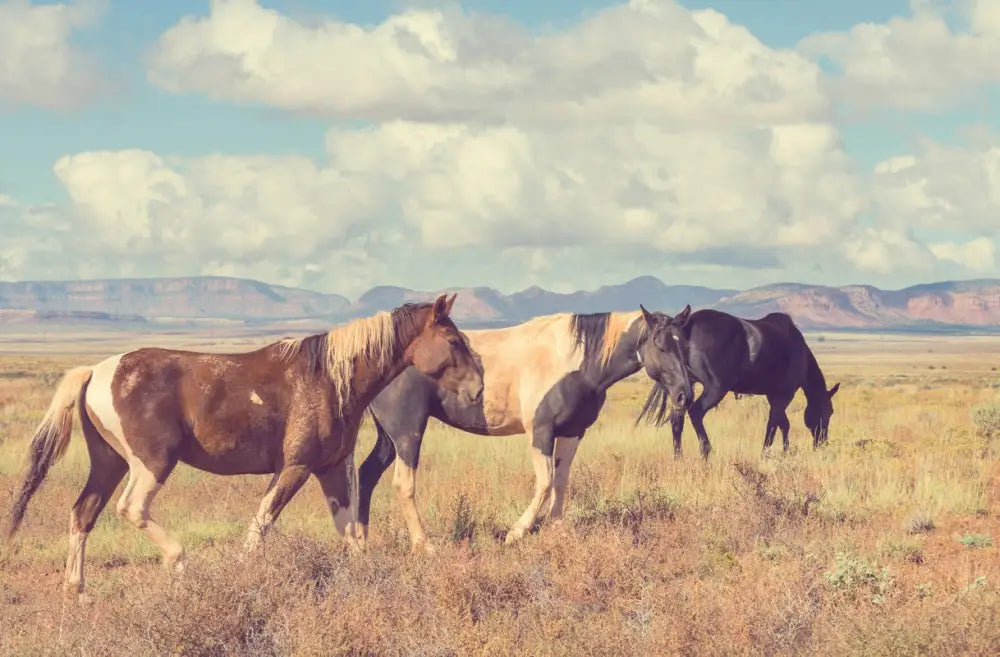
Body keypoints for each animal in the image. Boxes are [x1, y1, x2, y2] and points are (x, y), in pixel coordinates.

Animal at [3, 294, 480, 604]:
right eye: (455, 342)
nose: (478, 389)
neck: (329, 379)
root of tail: (96, 370)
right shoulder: (295, 467)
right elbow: (260, 527)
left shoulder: (330, 470)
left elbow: (350, 536)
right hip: (151, 463)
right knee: (131, 508)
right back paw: (179, 563)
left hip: (109, 462)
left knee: (83, 512)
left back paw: (78, 591)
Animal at [356, 308, 676, 548]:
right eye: (660, 345)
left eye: (682, 343)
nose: (683, 393)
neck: (575, 361)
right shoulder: (541, 432)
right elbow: (545, 482)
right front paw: (516, 532)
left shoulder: (572, 432)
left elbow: (561, 480)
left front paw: (556, 529)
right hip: (407, 434)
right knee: (403, 484)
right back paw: (424, 545)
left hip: (389, 437)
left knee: (367, 474)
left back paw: (360, 544)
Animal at [636, 304, 840, 458]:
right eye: (829, 411)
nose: (822, 443)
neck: (799, 352)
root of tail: (686, 327)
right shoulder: (784, 394)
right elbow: (774, 424)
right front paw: (767, 454)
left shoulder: (773, 395)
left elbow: (782, 423)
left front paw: (785, 451)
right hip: (715, 389)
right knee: (696, 412)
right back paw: (705, 452)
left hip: (683, 389)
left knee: (677, 419)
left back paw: (678, 457)